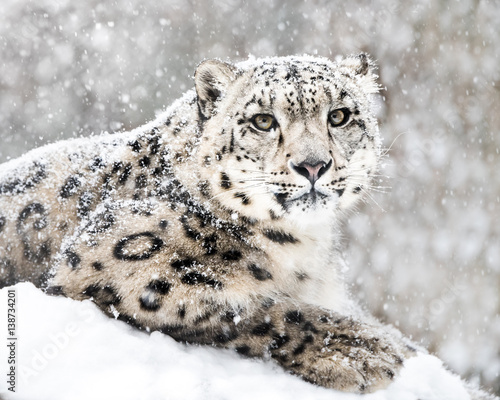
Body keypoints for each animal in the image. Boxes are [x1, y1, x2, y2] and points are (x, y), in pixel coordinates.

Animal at [0, 54, 440, 394]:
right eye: (263, 120)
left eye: (340, 115)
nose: (313, 165)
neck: (303, 246)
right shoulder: (114, 258)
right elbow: (249, 306)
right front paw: (360, 350)